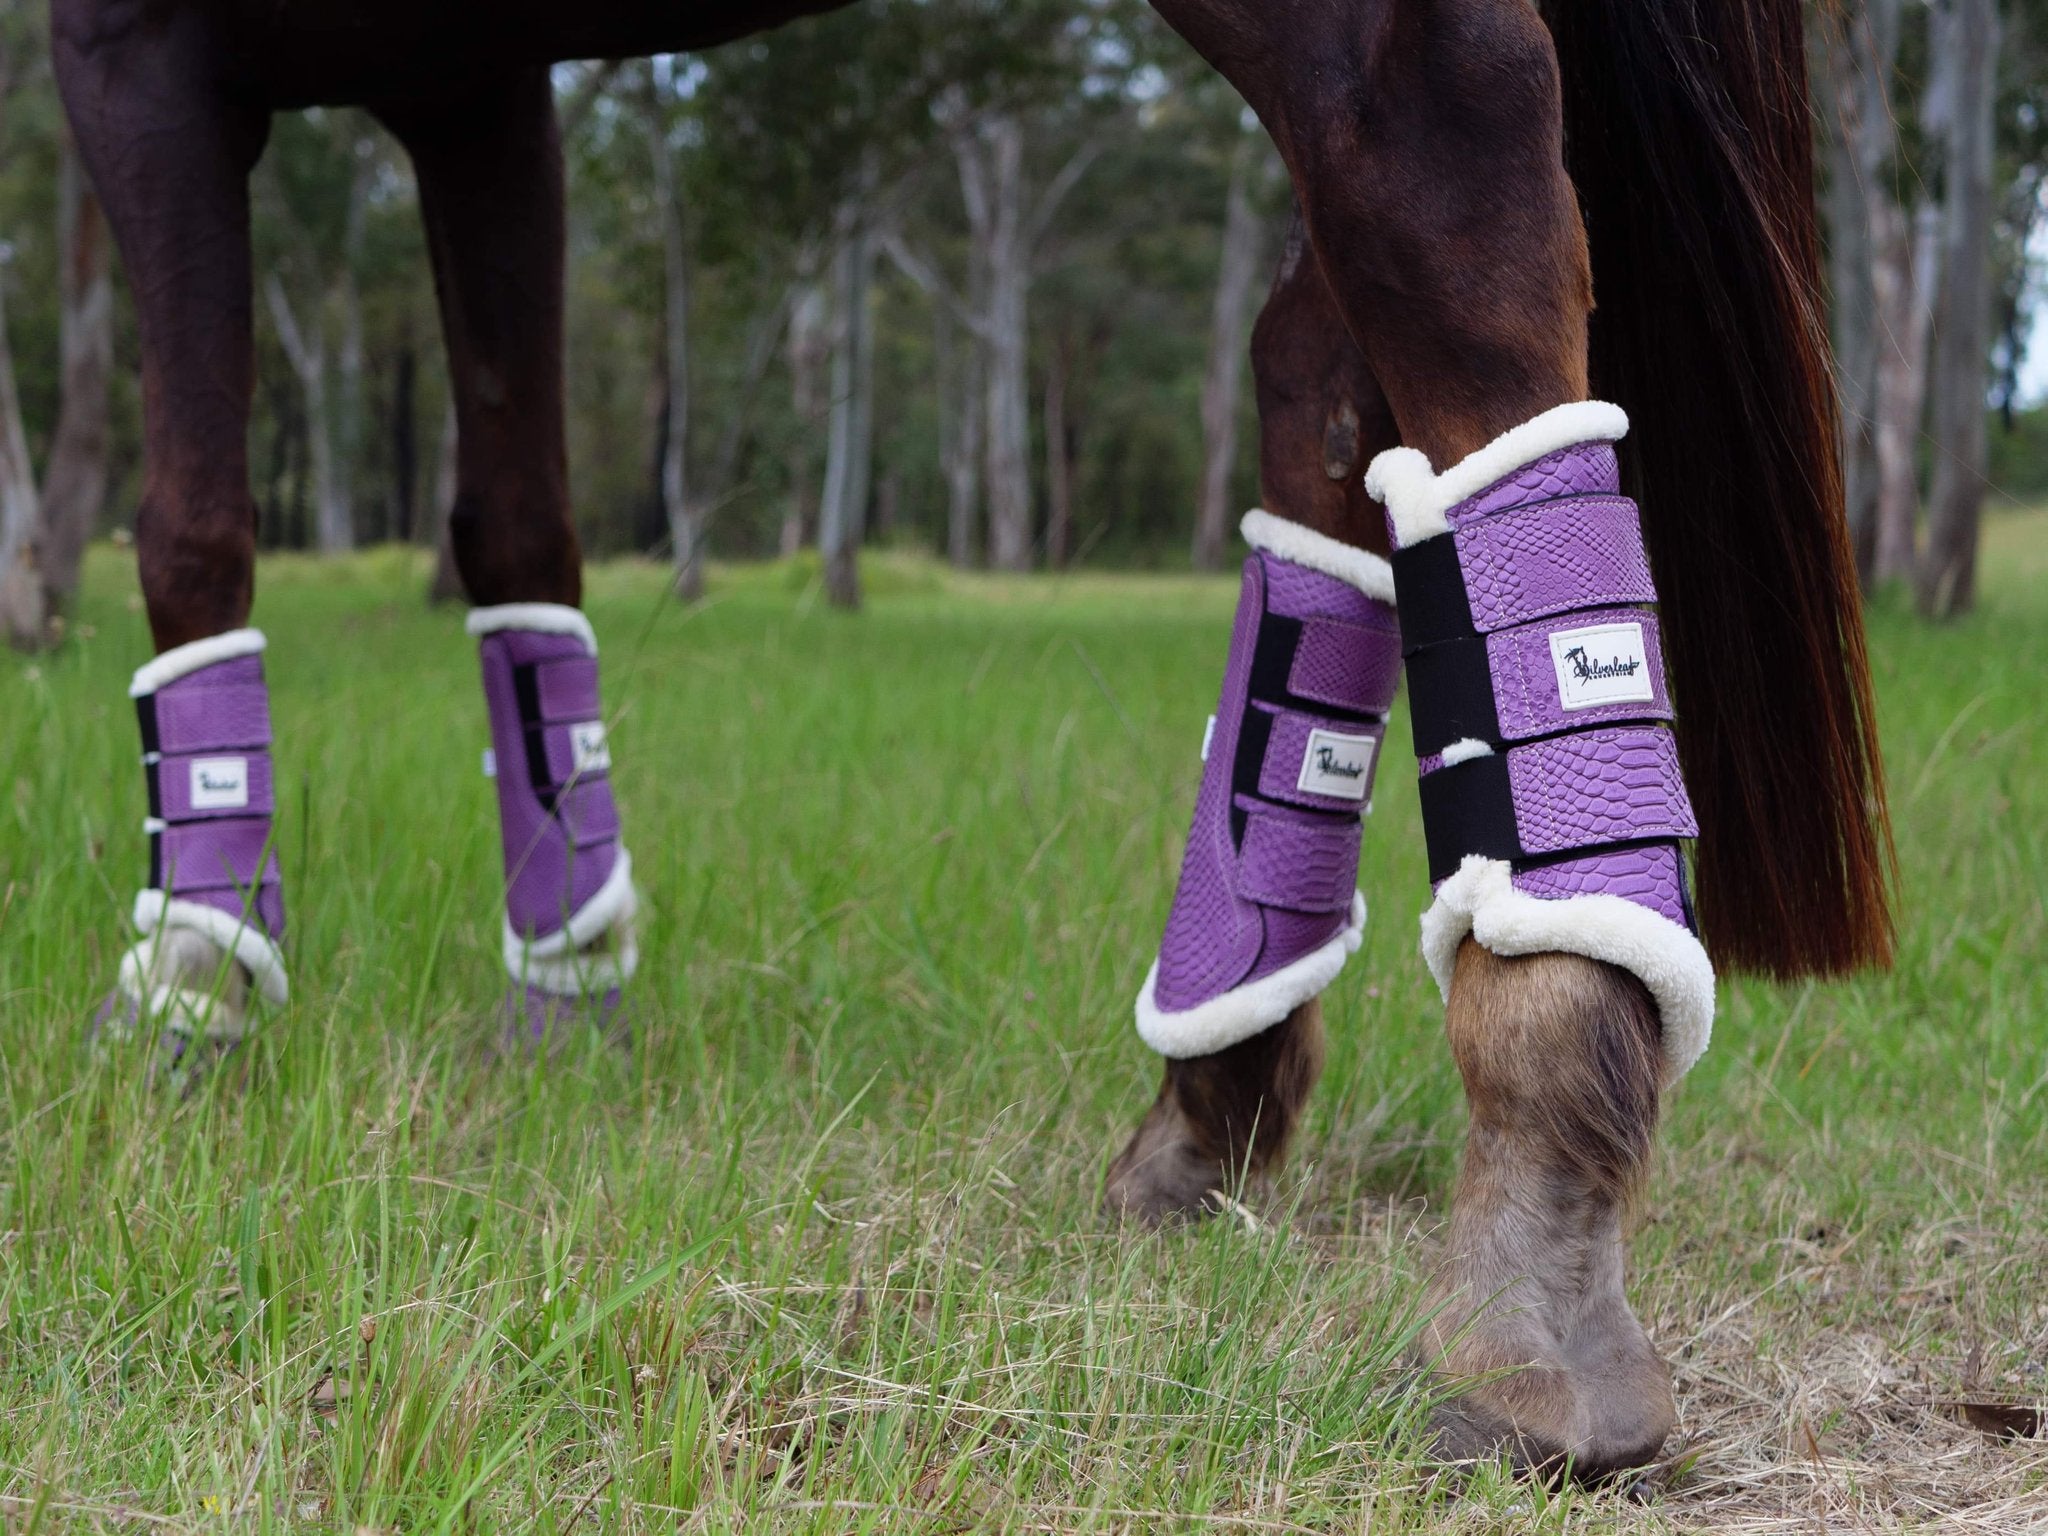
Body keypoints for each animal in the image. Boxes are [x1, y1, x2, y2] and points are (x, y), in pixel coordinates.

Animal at [51, 0, 1892, 1479]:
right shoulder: (480, 85)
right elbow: (519, 528)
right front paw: (564, 980)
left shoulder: (140, 46)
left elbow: (189, 531)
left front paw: (188, 988)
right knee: (1321, 365)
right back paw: (1212, 1096)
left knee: (1435, 159)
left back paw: (1528, 1281)